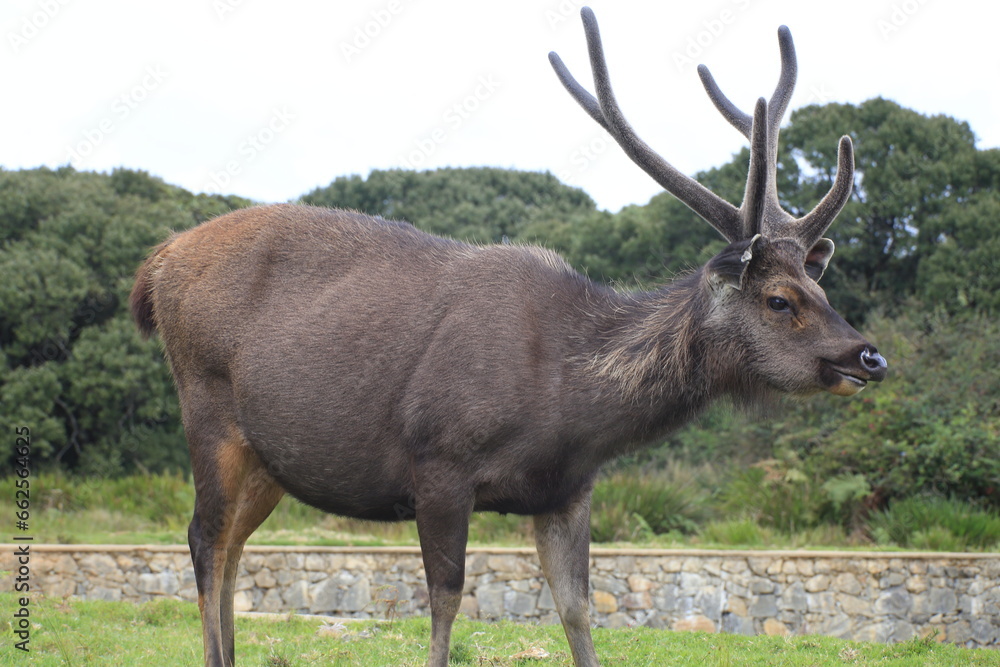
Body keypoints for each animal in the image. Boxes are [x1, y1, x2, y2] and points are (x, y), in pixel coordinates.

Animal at [129, 7, 886, 667]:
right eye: (779, 299)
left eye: (822, 288)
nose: (867, 354)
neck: (566, 406)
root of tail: (154, 265)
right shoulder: (437, 459)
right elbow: (444, 601)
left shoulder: (567, 488)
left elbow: (578, 608)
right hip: (208, 409)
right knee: (204, 539)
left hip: (267, 459)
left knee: (231, 546)